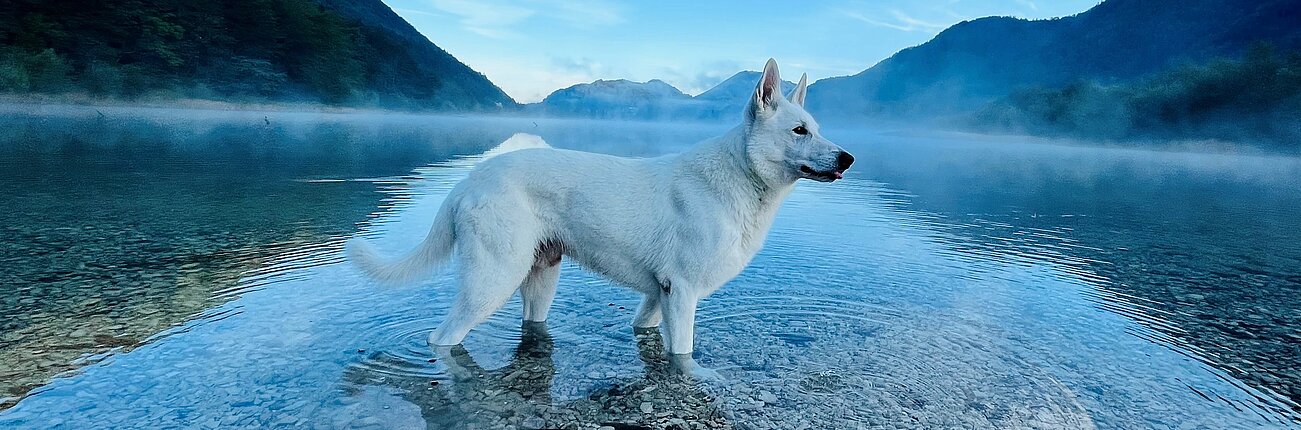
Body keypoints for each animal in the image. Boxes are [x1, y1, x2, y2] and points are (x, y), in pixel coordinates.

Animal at [348, 59, 853, 363]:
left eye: (816, 128)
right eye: (799, 130)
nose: (847, 158)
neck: (742, 176)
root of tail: (469, 181)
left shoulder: (658, 297)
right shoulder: (682, 293)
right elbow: (684, 357)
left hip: (541, 279)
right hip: (492, 280)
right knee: (442, 338)